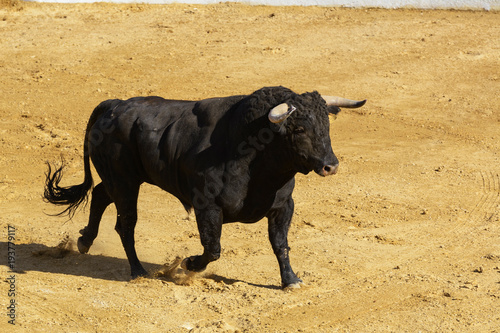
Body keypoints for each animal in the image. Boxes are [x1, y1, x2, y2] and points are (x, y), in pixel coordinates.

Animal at [44, 87, 364, 286]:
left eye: (326, 126)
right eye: (298, 129)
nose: (330, 165)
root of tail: (114, 105)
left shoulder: (283, 206)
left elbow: (280, 244)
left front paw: (291, 281)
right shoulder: (207, 206)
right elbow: (213, 248)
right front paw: (188, 265)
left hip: (120, 179)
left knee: (99, 194)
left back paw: (85, 242)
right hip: (125, 182)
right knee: (126, 223)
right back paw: (137, 270)